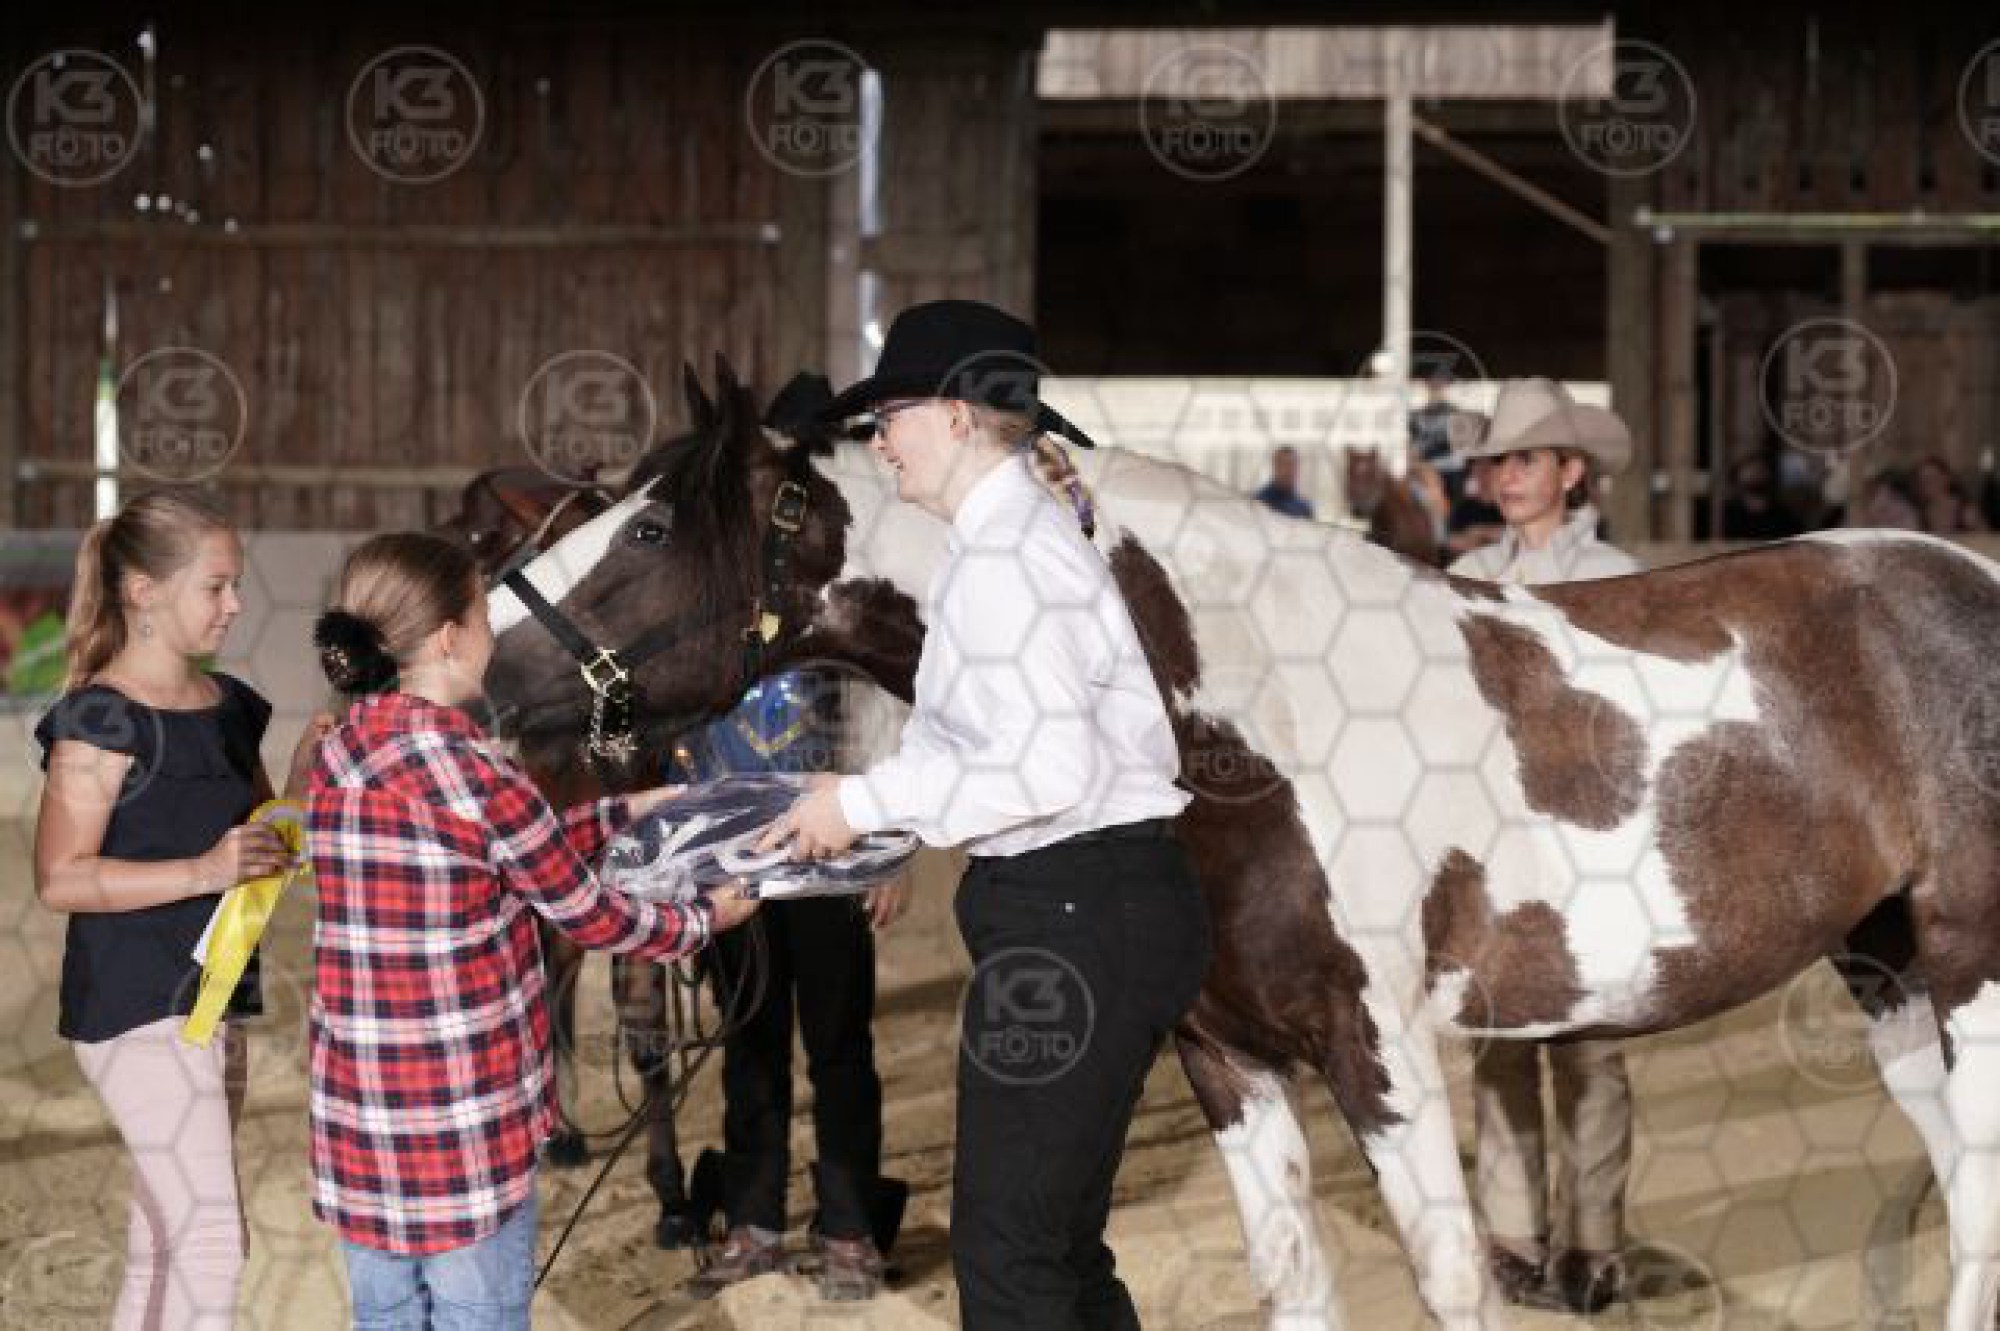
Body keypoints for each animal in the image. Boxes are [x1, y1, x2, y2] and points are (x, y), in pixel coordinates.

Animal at [478, 358, 2000, 1331]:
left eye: (651, 524)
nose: (484, 676)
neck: (1239, 712)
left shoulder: (1379, 1046)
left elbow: (1453, 1280)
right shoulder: (1228, 1054)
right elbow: (1293, 1281)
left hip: (1968, 969)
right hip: (1885, 970)